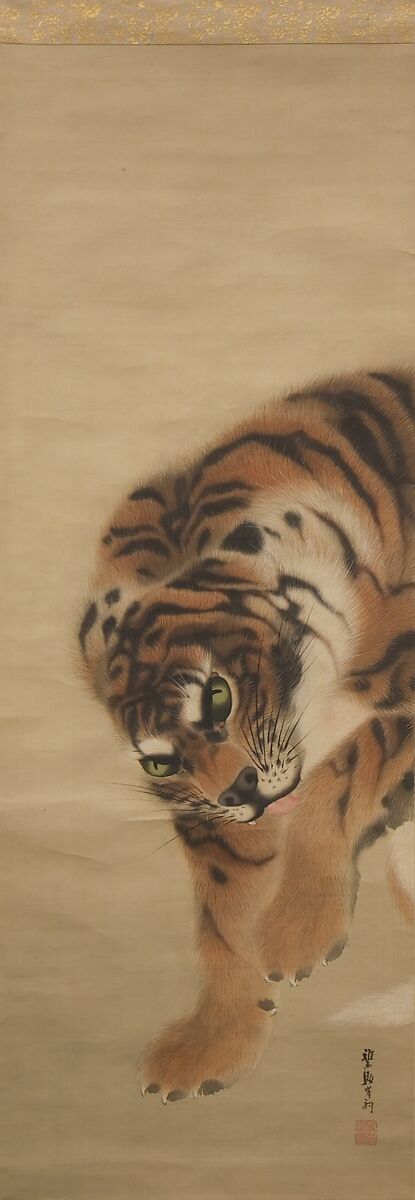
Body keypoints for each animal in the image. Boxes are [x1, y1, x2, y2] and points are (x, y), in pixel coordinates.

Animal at [78, 368, 414, 1102]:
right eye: (159, 764)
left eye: (217, 694)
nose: (240, 792)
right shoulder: (212, 824)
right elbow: (220, 923)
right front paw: (212, 1046)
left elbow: (343, 771)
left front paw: (297, 933)